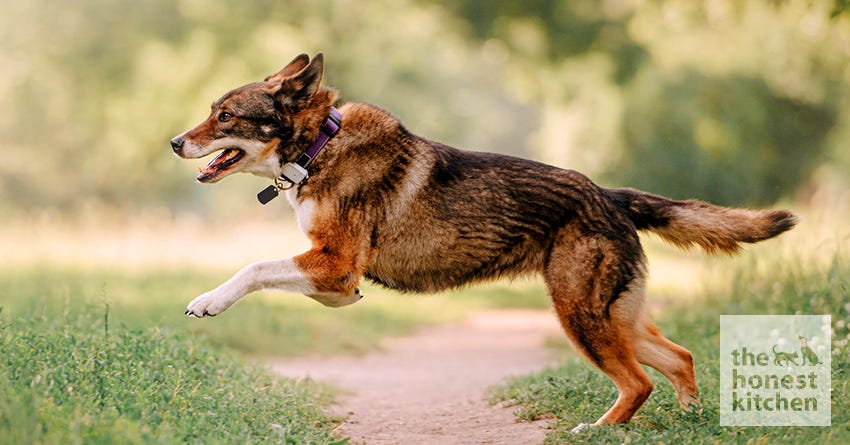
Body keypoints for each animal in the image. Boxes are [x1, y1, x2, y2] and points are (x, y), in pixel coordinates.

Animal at [171, 52, 796, 430]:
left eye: (225, 115)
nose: (175, 142)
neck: (317, 148)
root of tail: (611, 196)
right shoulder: (333, 274)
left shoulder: (336, 262)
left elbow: (254, 267)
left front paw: (208, 301)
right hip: (613, 317)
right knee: (679, 358)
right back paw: (691, 422)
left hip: (580, 315)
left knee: (639, 382)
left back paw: (597, 430)